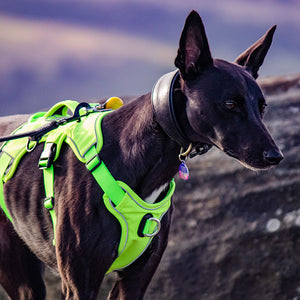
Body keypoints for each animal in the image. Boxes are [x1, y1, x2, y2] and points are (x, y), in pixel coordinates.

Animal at [0, 10, 282, 298]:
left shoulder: (135, 279)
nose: (275, 156)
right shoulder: (80, 284)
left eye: (262, 106)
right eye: (230, 104)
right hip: (23, 278)